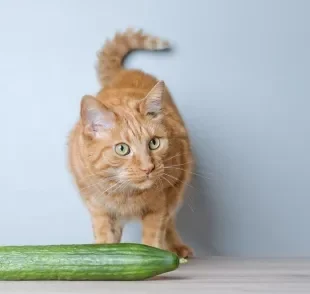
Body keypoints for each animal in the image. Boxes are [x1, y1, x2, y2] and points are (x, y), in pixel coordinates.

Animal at [68, 28, 194, 258]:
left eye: (154, 143)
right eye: (122, 149)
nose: (148, 168)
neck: (125, 192)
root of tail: (125, 72)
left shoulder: (161, 203)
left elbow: (155, 235)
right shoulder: (98, 206)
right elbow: (105, 235)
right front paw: (103, 254)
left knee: (170, 222)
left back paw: (177, 249)